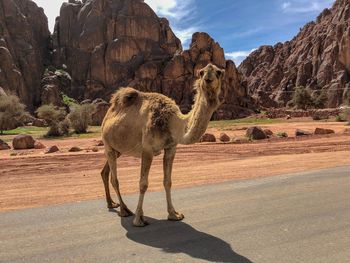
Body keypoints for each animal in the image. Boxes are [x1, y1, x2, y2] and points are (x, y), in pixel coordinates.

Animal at [100, 63, 224, 227]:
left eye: (219, 72)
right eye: (201, 72)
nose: (208, 79)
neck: (172, 122)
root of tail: (108, 113)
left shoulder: (171, 148)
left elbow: (168, 181)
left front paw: (174, 214)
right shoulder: (147, 149)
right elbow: (143, 184)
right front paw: (139, 219)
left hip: (117, 149)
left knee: (105, 172)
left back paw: (112, 204)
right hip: (107, 144)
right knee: (115, 179)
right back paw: (124, 210)